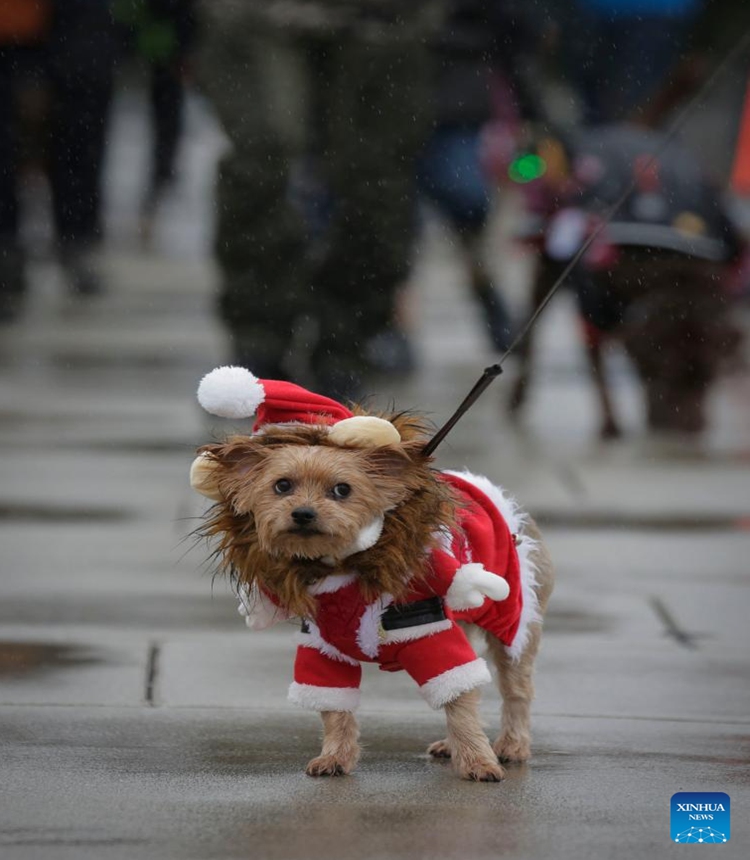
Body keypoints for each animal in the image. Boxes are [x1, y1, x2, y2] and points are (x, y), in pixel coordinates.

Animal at [192, 366, 560, 784]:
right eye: (282, 485)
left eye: (342, 490)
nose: (303, 513)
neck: (343, 568)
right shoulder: (324, 652)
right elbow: (335, 709)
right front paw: (335, 757)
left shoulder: (433, 638)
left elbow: (460, 702)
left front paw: (478, 761)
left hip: (514, 625)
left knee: (517, 691)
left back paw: (512, 745)